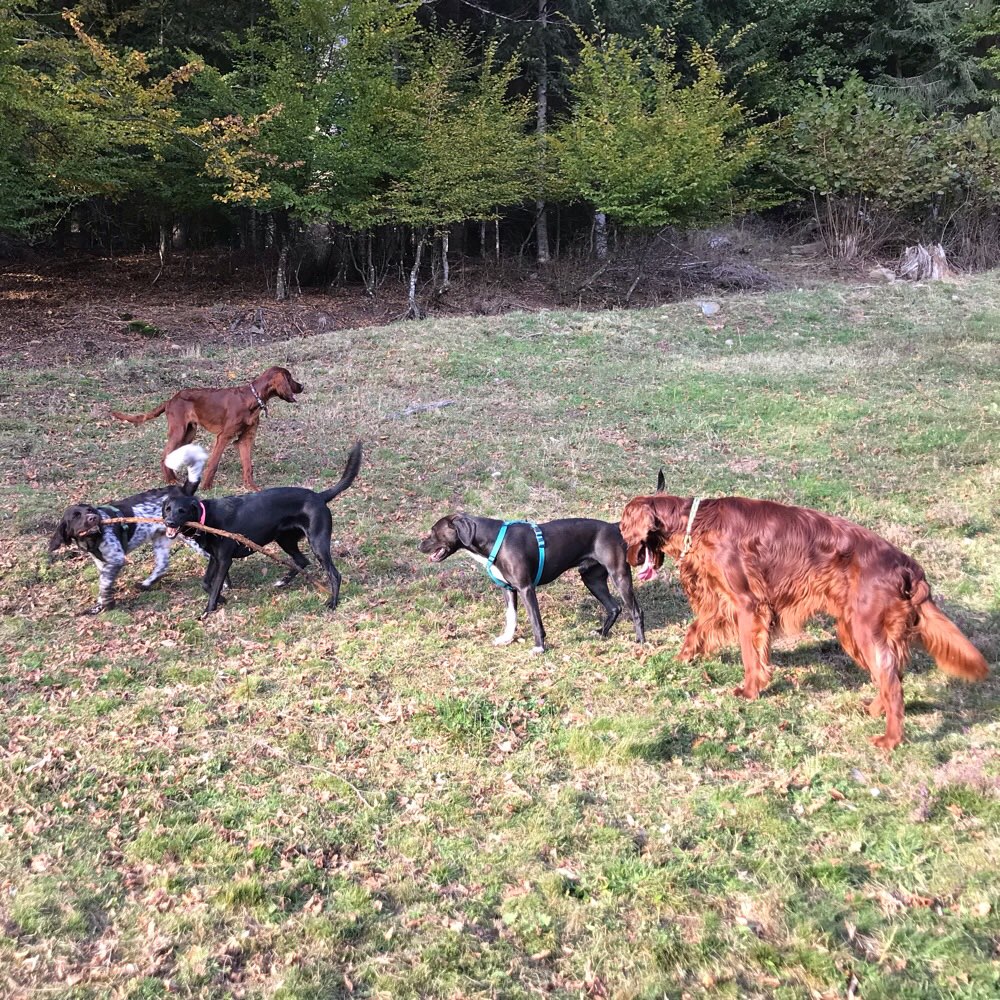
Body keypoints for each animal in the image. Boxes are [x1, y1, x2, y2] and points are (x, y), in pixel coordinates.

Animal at [50, 448, 209, 616]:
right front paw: (99, 606)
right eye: (76, 516)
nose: (93, 518)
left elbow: (104, 584)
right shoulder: (102, 563)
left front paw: (106, 603)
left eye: (89, 510)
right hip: (161, 540)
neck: (92, 540)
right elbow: (104, 583)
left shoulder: (116, 560)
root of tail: (183, 490)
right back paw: (146, 584)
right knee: (163, 565)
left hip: (193, 538)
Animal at [112, 368, 302, 492]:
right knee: (164, 454)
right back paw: (170, 479)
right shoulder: (223, 436)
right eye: (290, 378)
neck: (253, 399)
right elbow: (214, 463)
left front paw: (252, 487)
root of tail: (171, 400)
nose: (302, 386)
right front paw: (206, 487)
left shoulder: (245, 439)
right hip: (179, 430)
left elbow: (248, 466)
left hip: (189, 433)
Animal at [418, 512, 644, 652]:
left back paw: (640, 642)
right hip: (592, 579)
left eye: (433, 531)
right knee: (614, 607)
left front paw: (539, 647)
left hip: (619, 576)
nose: (419, 545)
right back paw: (601, 634)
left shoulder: (526, 588)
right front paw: (507, 639)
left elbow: (535, 620)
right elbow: (511, 618)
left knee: (636, 610)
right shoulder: (508, 589)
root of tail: (614, 527)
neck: (494, 539)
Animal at [620, 492, 988, 752]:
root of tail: (908, 567)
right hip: (856, 630)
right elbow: (696, 628)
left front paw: (750, 690)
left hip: (864, 629)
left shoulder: (748, 604)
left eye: (622, 527)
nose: (625, 557)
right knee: (892, 675)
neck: (695, 523)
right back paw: (874, 710)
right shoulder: (724, 601)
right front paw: (682, 658)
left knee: (893, 682)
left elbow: (749, 655)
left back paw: (890, 739)